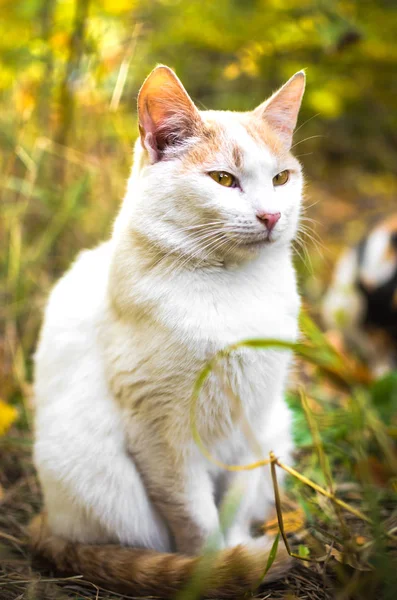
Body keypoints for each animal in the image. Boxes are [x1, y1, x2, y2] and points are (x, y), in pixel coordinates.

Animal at [30, 63, 306, 596]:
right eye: (223, 179)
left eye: (282, 178)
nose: (271, 215)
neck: (233, 287)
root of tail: (47, 520)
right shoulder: (163, 436)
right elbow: (196, 518)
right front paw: (214, 570)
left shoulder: (255, 420)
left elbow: (233, 505)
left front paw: (238, 551)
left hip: (280, 428)